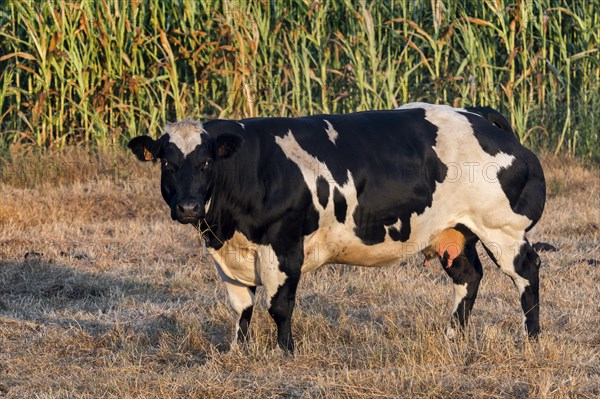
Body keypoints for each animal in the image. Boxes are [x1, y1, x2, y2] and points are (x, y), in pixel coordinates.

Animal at [129, 103, 548, 354]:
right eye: (167, 164)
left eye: (205, 163)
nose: (188, 207)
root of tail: (475, 112)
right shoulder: (227, 256)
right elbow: (241, 306)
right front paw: (237, 351)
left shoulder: (283, 245)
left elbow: (279, 305)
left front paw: (285, 352)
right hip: (453, 232)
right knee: (469, 276)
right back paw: (452, 336)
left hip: (502, 229)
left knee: (526, 272)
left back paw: (531, 338)